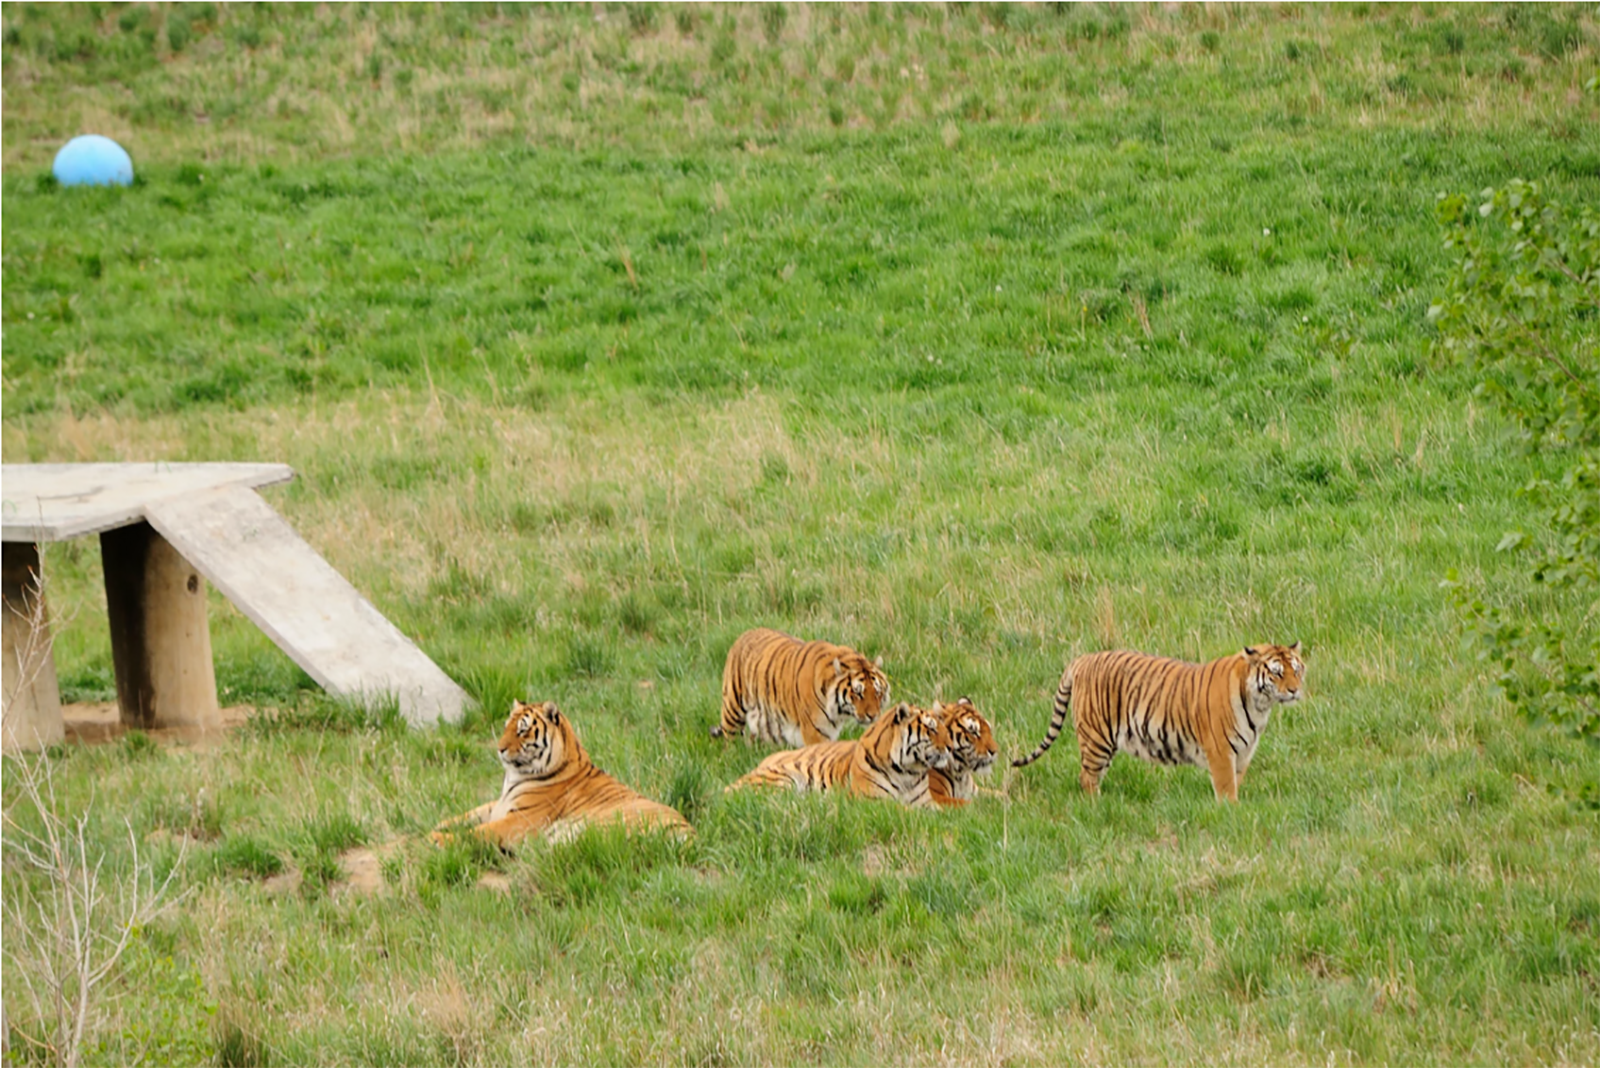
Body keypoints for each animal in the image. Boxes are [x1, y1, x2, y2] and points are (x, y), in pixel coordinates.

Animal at [435, 700, 691, 850]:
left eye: (522, 730)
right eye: (506, 726)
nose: (499, 748)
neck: (515, 777)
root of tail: (689, 831)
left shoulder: (518, 821)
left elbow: (476, 832)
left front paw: (435, 839)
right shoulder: (495, 807)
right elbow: (465, 816)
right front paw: (437, 826)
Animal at [732, 700, 953, 808]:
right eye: (932, 729)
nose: (951, 747)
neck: (908, 772)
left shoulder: (926, 802)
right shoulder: (876, 803)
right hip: (781, 778)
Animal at [1017, 642, 1305, 799]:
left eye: (1297, 669)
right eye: (1277, 673)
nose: (1294, 690)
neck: (1260, 706)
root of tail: (1081, 659)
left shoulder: (1243, 753)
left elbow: (1236, 782)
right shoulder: (1221, 752)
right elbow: (1226, 790)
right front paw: (1230, 812)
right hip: (1097, 737)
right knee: (1086, 777)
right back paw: (1096, 805)